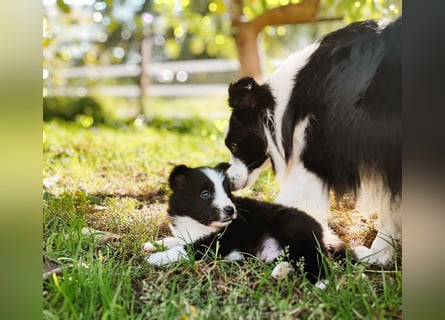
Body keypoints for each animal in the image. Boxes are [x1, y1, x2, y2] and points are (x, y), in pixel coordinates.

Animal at [142, 165, 344, 282]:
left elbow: (186, 248)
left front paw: (157, 258)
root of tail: (323, 231)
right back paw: (281, 271)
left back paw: (322, 283)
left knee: (317, 260)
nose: (230, 210)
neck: (198, 222)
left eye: (227, 193)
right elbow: (177, 240)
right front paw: (153, 245)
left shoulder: (217, 242)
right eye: (205, 194)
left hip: (293, 231)